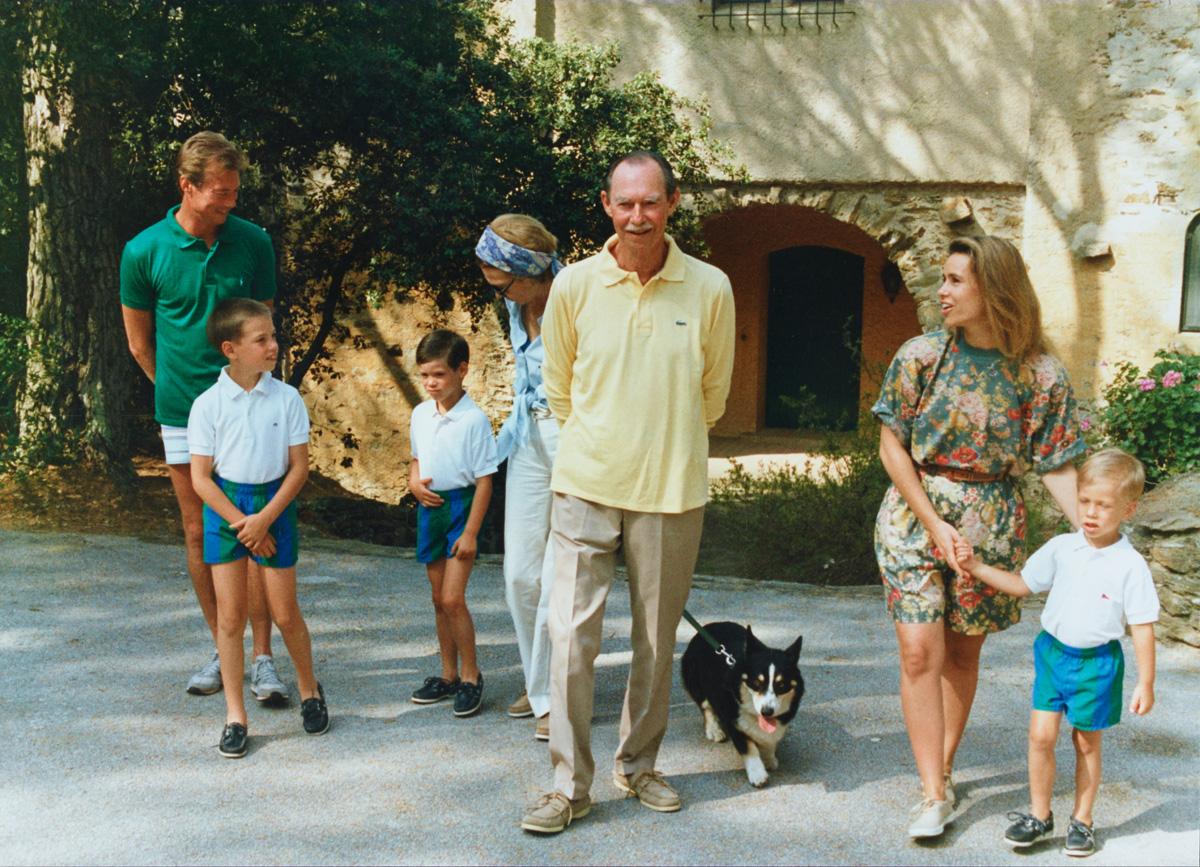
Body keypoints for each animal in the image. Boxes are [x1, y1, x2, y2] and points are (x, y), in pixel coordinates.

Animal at [681, 619, 801, 787]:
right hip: (696, 682)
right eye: (756, 683)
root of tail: (707, 627)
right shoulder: (733, 722)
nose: (767, 711)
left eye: (782, 685)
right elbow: (749, 748)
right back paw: (714, 730)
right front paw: (758, 774)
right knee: (706, 707)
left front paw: (769, 759)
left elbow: (770, 740)